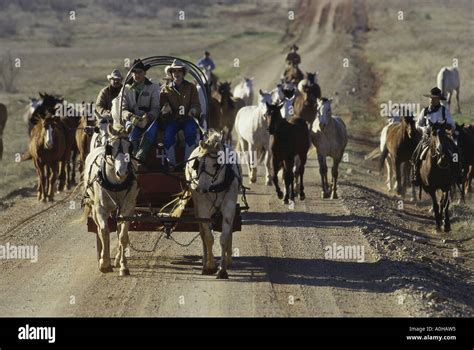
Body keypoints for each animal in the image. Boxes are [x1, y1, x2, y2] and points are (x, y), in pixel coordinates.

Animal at [80, 135, 137, 274]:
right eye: (110, 148)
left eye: (130, 147)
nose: (122, 172)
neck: (116, 184)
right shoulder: (100, 209)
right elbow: (104, 231)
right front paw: (104, 263)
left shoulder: (127, 209)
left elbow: (123, 236)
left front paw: (123, 266)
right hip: (94, 206)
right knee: (99, 229)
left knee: (118, 230)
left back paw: (117, 260)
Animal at [184, 131, 241, 278]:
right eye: (197, 163)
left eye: (216, 165)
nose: (201, 189)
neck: (215, 186)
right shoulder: (203, 209)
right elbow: (208, 238)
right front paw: (210, 266)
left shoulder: (229, 207)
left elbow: (224, 237)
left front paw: (222, 269)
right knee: (203, 234)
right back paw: (205, 261)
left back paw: (228, 260)